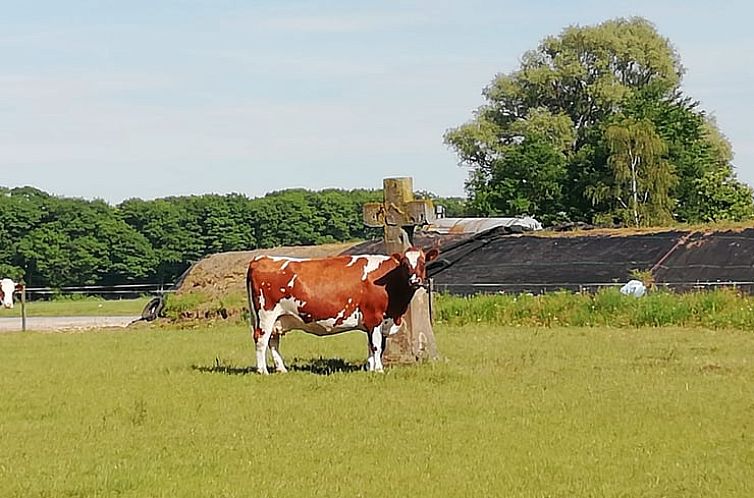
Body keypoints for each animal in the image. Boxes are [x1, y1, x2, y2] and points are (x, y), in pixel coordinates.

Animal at [244, 247, 438, 376]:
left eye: (422, 262)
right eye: (405, 264)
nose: (415, 281)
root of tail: (261, 258)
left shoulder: (378, 321)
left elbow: (371, 345)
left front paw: (370, 368)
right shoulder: (374, 317)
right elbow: (376, 345)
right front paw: (378, 370)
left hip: (278, 318)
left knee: (273, 341)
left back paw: (281, 369)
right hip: (266, 314)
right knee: (261, 340)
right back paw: (263, 370)